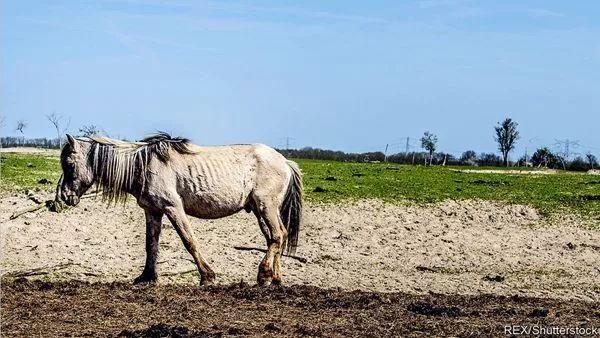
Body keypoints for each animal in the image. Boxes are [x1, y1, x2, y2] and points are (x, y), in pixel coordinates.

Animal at [58, 132, 302, 286]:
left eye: (69, 164)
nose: (64, 197)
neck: (142, 165)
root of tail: (285, 161)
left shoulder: (173, 208)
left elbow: (189, 241)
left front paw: (207, 276)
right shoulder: (152, 211)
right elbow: (151, 245)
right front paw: (147, 277)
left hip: (266, 207)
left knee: (277, 236)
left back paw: (264, 275)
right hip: (261, 211)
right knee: (275, 238)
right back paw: (275, 278)